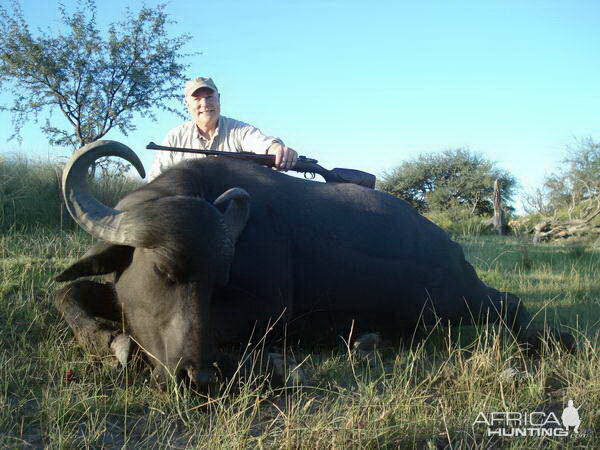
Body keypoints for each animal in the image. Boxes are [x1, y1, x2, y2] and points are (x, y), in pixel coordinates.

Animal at [54, 141, 568, 386]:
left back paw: (550, 340)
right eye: (165, 271)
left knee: (512, 303)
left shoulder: (263, 313)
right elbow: (68, 291)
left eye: (219, 280)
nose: (196, 376)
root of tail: (451, 249)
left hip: (459, 301)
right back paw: (367, 342)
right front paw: (110, 338)